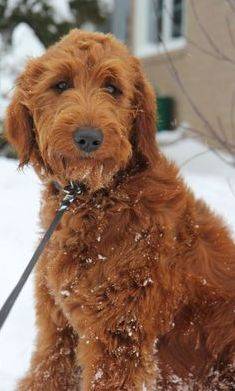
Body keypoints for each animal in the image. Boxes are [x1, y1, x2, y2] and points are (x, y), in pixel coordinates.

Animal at [4, 29, 234, 390]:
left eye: (112, 88)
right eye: (61, 84)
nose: (88, 138)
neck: (95, 197)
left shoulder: (120, 332)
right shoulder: (58, 325)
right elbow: (46, 372)